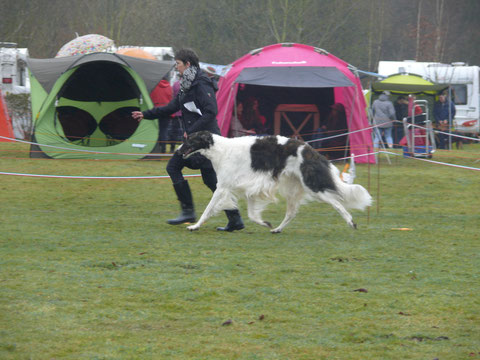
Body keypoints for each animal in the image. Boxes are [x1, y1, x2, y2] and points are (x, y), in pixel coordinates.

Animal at [178, 131, 374, 232]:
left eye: (190, 140)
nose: (178, 151)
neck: (221, 150)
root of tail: (311, 150)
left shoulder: (223, 186)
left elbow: (208, 209)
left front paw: (194, 225)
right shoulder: (250, 188)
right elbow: (252, 214)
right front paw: (265, 223)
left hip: (312, 186)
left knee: (338, 203)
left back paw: (351, 222)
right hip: (293, 187)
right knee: (292, 212)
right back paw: (277, 228)